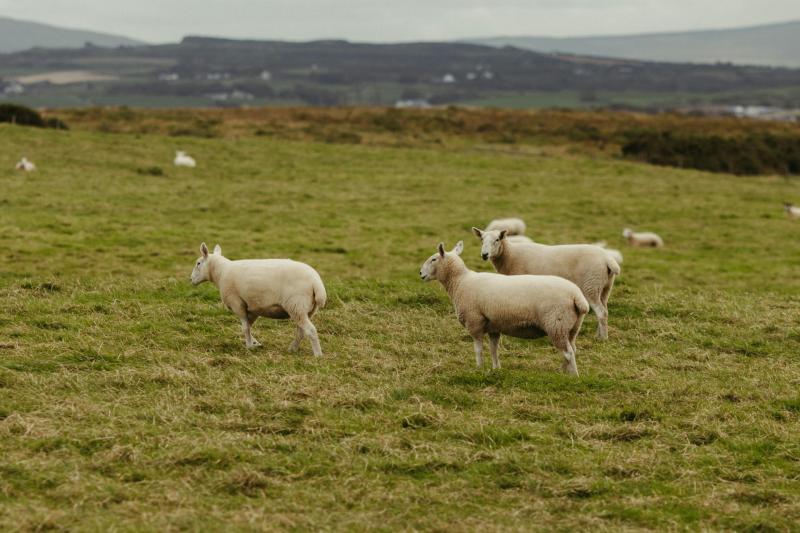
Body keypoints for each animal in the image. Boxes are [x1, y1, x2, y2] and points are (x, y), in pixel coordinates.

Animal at [191, 243, 326, 355]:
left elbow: (245, 327)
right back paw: (292, 349)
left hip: (296, 305)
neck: (221, 272)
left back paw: (318, 355)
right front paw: (255, 343)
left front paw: (249, 346)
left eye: (198, 263)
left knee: (310, 330)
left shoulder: (237, 303)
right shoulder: (253, 307)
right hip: (307, 309)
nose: (191, 279)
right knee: (301, 331)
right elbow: (247, 327)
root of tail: (316, 282)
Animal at [419, 241, 588, 374]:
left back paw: (574, 376)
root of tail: (577, 296)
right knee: (572, 350)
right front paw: (496, 369)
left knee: (568, 353)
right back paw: (563, 372)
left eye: (433, 259)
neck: (460, 281)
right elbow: (494, 349)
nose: (420, 273)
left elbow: (478, 349)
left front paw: (479, 369)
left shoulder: (474, 321)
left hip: (556, 324)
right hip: (571, 327)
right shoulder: (493, 326)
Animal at [473, 227, 619, 339]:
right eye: (481, 240)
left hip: (591, 285)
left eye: (497, 240)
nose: (484, 255)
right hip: (604, 287)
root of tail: (607, 259)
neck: (510, 255)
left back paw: (603, 338)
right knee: (605, 310)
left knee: (601, 312)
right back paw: (599, 334)